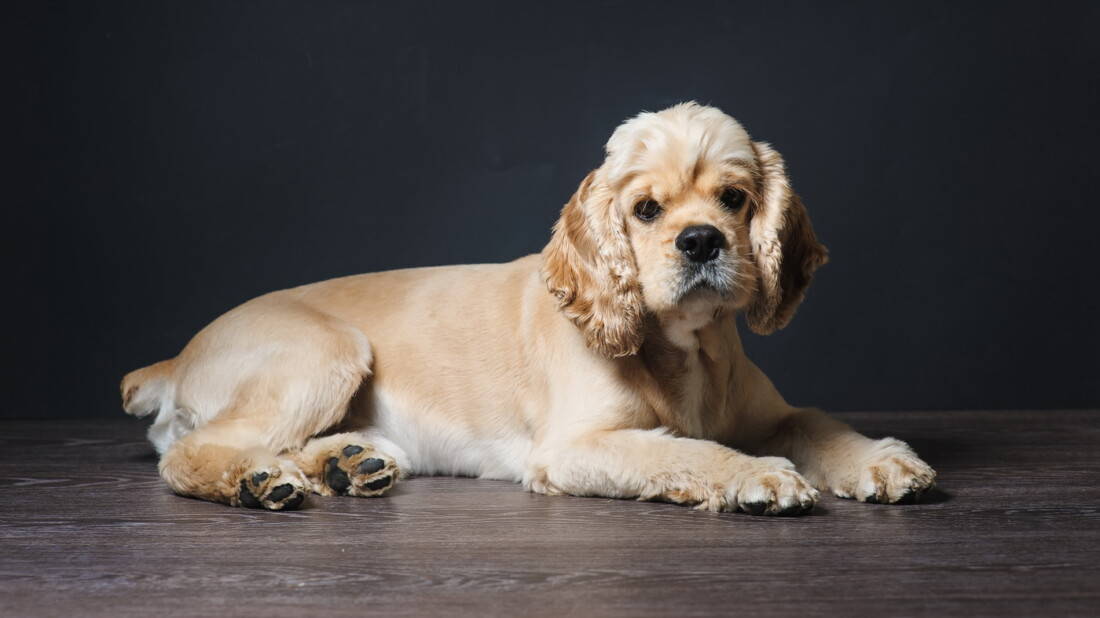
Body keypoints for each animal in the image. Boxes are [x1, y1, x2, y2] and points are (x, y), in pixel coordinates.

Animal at [122, 103, 937, 512]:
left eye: (735, 198)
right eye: (645, 209)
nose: (703, 240)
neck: (686, 349)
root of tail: (176, 358)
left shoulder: (771, 412)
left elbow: (816, 423)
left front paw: (881, 460)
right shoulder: (577, 446)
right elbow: (689, 449)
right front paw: (756, 478)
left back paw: (349, 464)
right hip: (328, 352)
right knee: (191, 453)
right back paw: (262, 482)